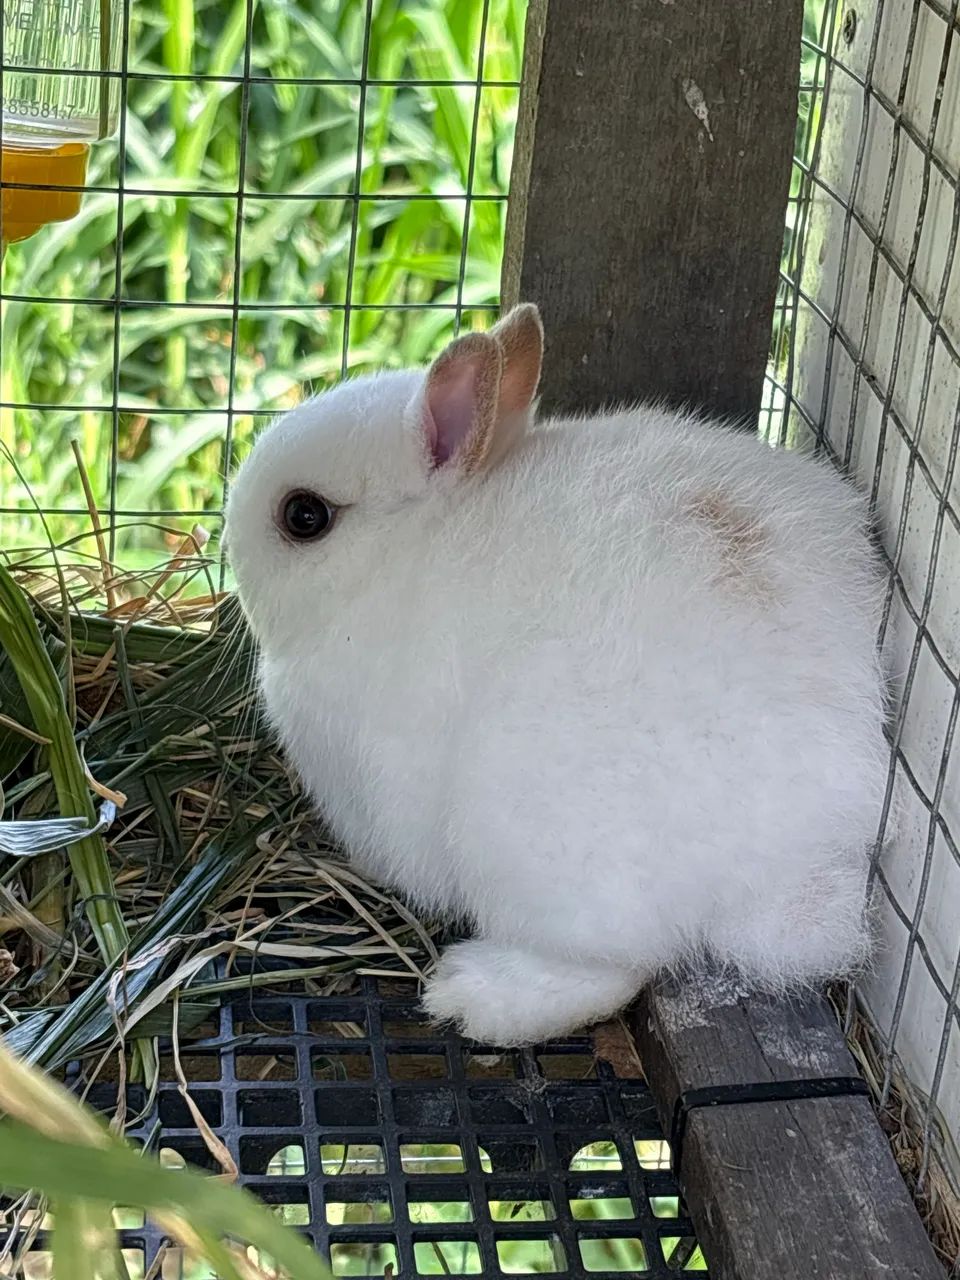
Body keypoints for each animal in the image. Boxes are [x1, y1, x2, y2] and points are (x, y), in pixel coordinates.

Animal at [225, 303, 888, 1047]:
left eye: (304, 516)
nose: (226, 544)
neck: (408, 552)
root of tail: (803, 859)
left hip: (527, 825)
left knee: (614, 967)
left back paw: (475, 996)